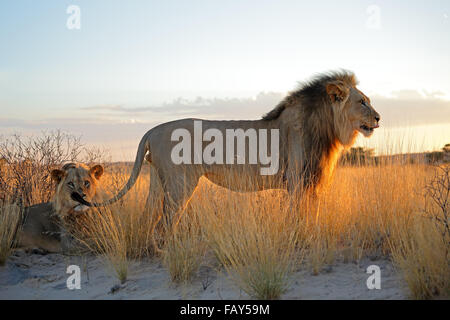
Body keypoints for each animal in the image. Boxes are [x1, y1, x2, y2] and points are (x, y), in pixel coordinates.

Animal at [78, 71, 380, 222]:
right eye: (362, 101)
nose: (379, 117)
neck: (327, 127)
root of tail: (153, 129)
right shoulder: (297, 181)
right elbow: (299, 216)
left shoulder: (310, 182)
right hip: (180, 182)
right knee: (167, 219)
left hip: (157, 180)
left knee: (148, 216)